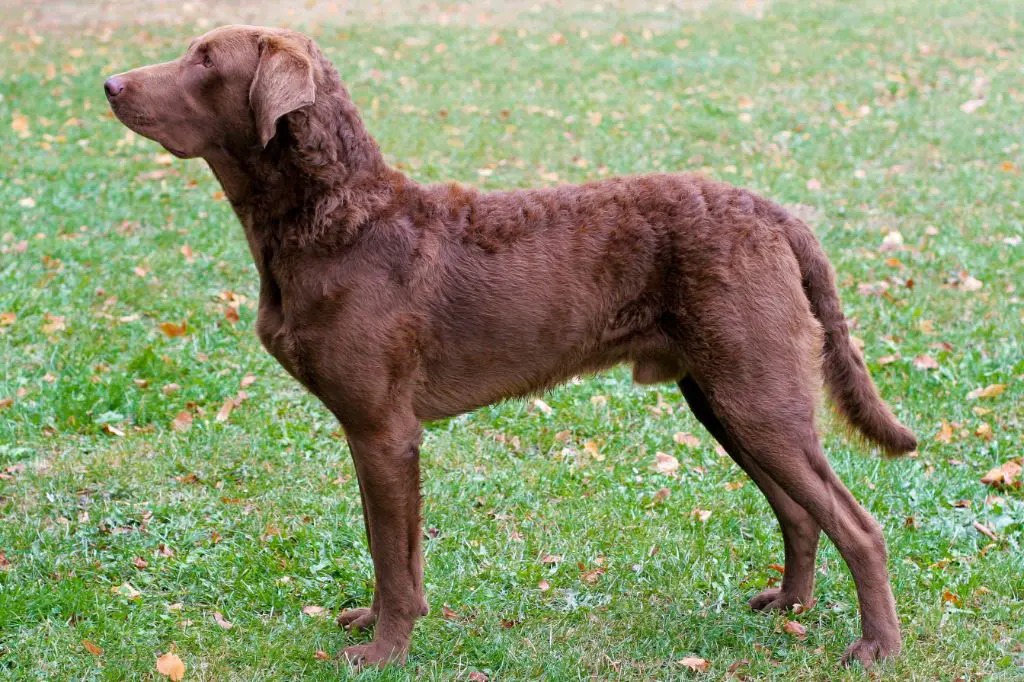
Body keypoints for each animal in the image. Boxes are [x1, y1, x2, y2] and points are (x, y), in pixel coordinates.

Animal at [108, 25, 917, 663]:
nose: (110, 83)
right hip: (724, 395)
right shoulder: (382, 434)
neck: (338, 220)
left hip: (756, 392)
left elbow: (390, 554)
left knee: (858, 525)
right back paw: (790, 609)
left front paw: (383, 651)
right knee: (800, 512)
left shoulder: (381, 428)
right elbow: (393, 548)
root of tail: (779, 214)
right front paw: (381, 623)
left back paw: (877, 646)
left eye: (205, 60)